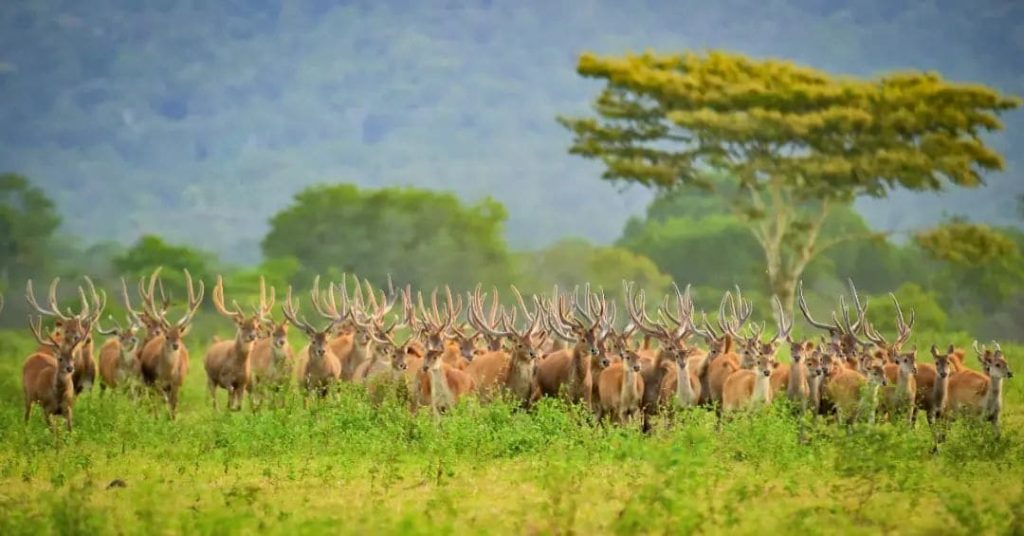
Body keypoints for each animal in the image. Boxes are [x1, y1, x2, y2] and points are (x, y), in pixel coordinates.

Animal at [138, 268, 205, 420]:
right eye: (167, 336)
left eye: (179, 336)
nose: (176, 346)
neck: (168, 374)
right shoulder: (156, 382)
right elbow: (161, 403)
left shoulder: (177, 383)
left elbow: (173, 408)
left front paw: (171, 422)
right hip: (147, 381)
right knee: (153, 403)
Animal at [199, 276, 270, 411]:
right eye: (242, 326)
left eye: (255, 326)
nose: (253, 336)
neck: (237, 366)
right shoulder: (224, 377)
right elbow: (231, 392)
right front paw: (229, 407)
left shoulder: (243, 382)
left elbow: (239, 404)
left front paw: (233, 408)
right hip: (210, 376)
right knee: (214, 398)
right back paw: (217, 410)